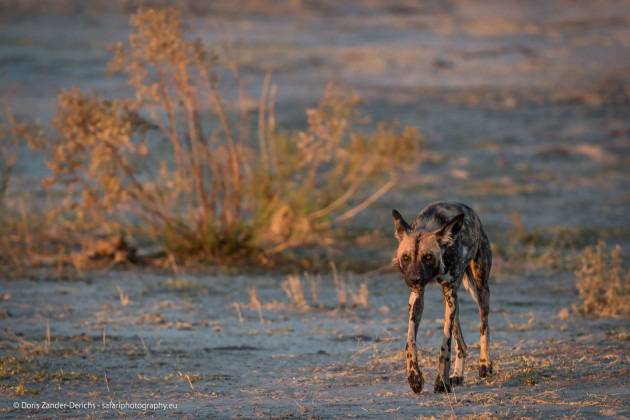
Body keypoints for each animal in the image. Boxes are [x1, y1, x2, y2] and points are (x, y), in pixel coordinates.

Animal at [396, 202, 494, 396]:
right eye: (406, 257)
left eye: (428, 257)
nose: (413, 279)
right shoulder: (417, 296)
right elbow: (410, 342)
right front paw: (414, 377)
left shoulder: (449, 292)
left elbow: (445, 346)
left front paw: (441, 382)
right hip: (451, 301)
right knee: (461, 344)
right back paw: (457, 374)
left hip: (479, 291)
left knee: (483, 325)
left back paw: (484, 364)